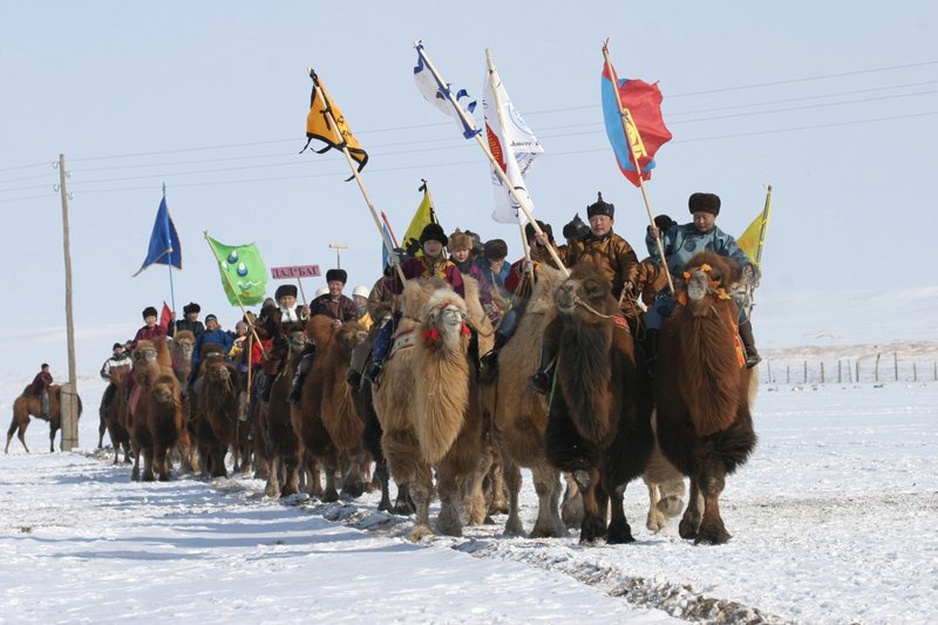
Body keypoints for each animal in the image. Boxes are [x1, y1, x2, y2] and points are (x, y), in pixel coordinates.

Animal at [374, 280, 486, 540]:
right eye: (433, 315)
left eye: (462, 311)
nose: (453, 314)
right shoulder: (409, 434)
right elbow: (421, 488)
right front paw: (421, 529)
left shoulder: (457, 435)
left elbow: (449, 484)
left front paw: (450, 523)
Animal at [540, 260, 652, 544]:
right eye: (566, 281)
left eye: (593, 290)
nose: (564, 291)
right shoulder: (569, 429)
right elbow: (585, 477)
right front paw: (591, 529)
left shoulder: (630, 432)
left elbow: (617, 482)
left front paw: (621, 531)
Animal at [656, 251, 756, 544]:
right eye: (684, 274)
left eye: (717, 277)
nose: (696, 283)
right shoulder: (681, 425)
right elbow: (697, 473)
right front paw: (697, 526)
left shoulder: (731, 425)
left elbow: (712, 479)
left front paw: (713, 530)